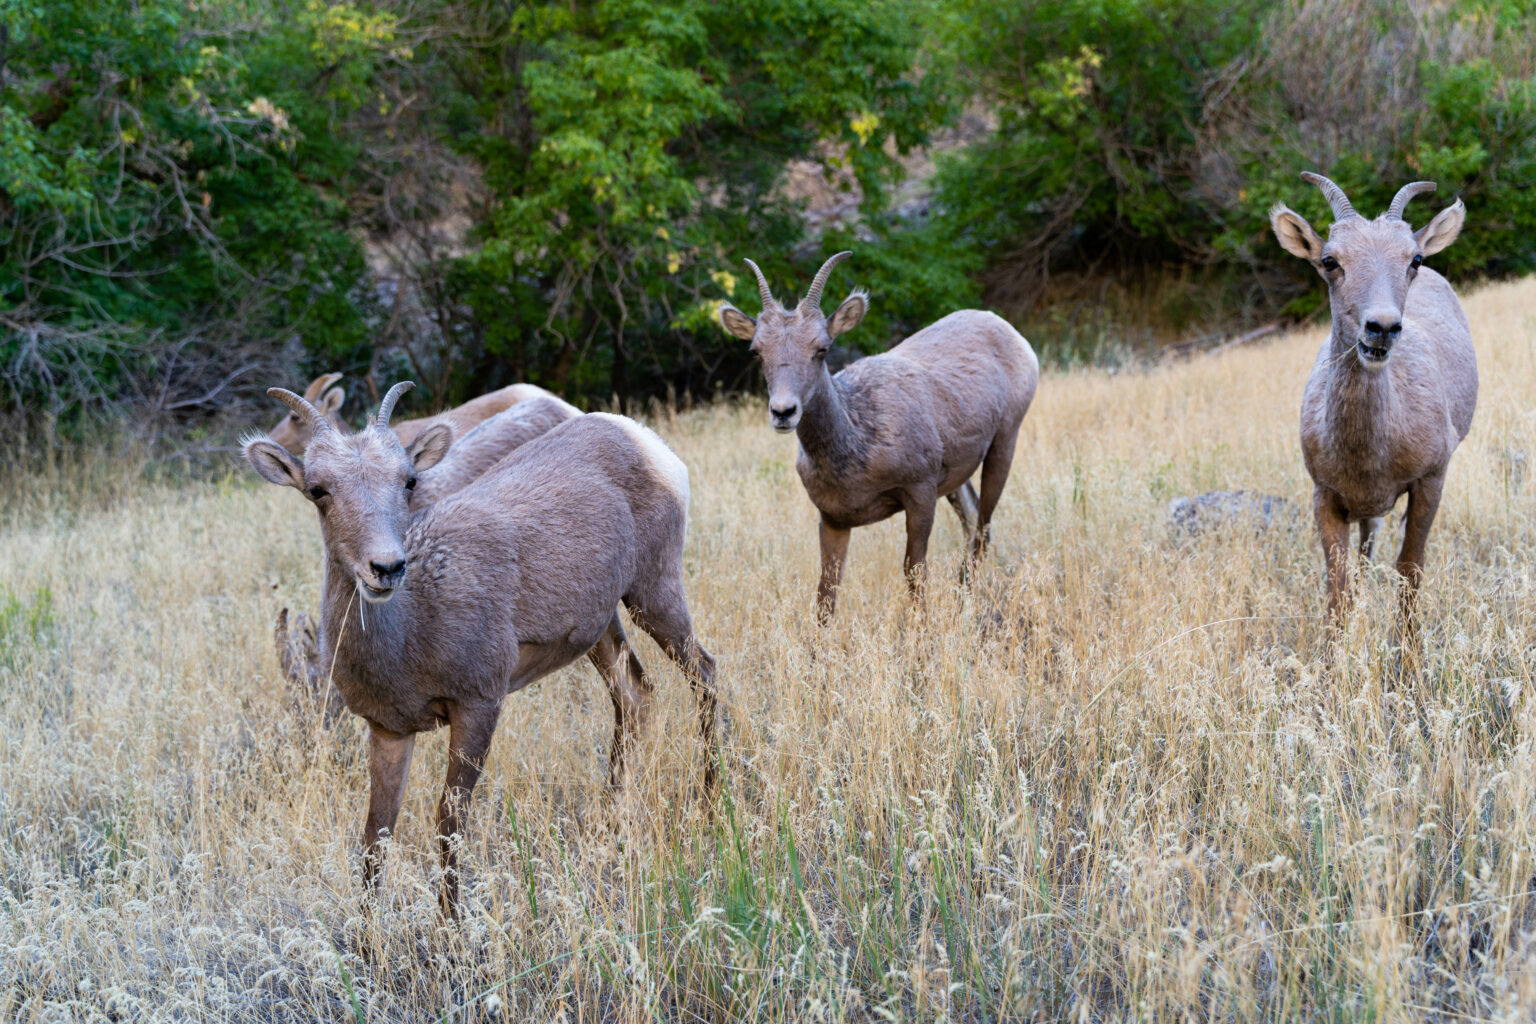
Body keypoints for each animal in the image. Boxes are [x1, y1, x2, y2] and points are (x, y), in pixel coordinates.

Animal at [721, 251, 1044, 620]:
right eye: (756, 351)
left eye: (822, 348)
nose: (783, 412)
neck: (858, 442)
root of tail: (1011, 332)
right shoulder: (833, 518)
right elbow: (825, 595)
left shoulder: (919, 491)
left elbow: (914, 572)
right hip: (955, 474)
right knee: (974, 522)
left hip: (1005, 440)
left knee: (982, 528)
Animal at [1265, 174, 1480, 626]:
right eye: (1329, 260)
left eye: (1414, 259)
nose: (1381, 327)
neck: (1369, 457)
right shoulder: (1326, 493)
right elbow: (1337, 589)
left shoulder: (1431, 479)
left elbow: (1410, 571)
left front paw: (1407, 648)